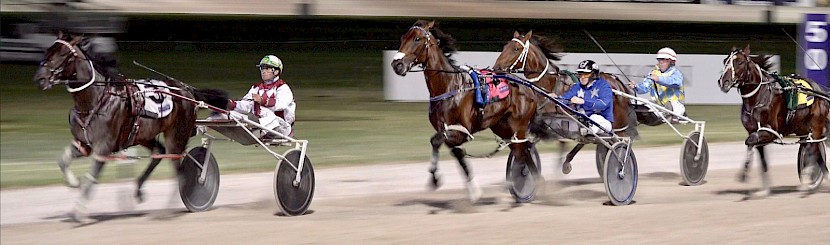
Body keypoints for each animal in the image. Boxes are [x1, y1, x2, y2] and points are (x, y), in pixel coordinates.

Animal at [33, 31, 228, 221]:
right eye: (47, 51)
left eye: (62, 54)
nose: (40, 78)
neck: (95, 99)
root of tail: (189, 91)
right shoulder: (84, 144)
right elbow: (63, 160)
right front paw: (74, 183)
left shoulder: (103, 148)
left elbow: (91, 178)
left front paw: (79, 212)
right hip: (143, 135)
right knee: (158, 151)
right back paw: (139, 189)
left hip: (176, 136)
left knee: (179, 170)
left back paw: (167, 210)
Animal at [394, 20, 544, 202]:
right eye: (403, 38)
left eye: (417, 38)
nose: (397, 64)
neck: (450, 86)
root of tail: (529, 88)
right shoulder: (448, 132)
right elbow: (457, 155)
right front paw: (474, 191)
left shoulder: (463, 131)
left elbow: (435, 140)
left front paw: (435, 179)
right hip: (502, 127)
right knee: (521, 150)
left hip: (519, 126)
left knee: (523, 151)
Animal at [494, 30, 644, 175]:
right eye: (504, 46)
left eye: (516, 48)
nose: (496, 68)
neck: (550, 85)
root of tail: (618, 82)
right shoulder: (543, 124)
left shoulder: (564, 125)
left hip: (618, 126)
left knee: (620, 144)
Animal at [720, 45, 828, 196]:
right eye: (725, 61)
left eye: (740, 62)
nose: (723, 82)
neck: (760, 96)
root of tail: (820, 90)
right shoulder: (756, 132)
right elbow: (760, 156)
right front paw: (764, 190)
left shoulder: (771, 132)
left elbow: (749, 141)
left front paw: (744, 174)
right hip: (802, 128)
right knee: (814, 148)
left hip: (816, 125)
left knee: (813, 149)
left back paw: (807, 181)